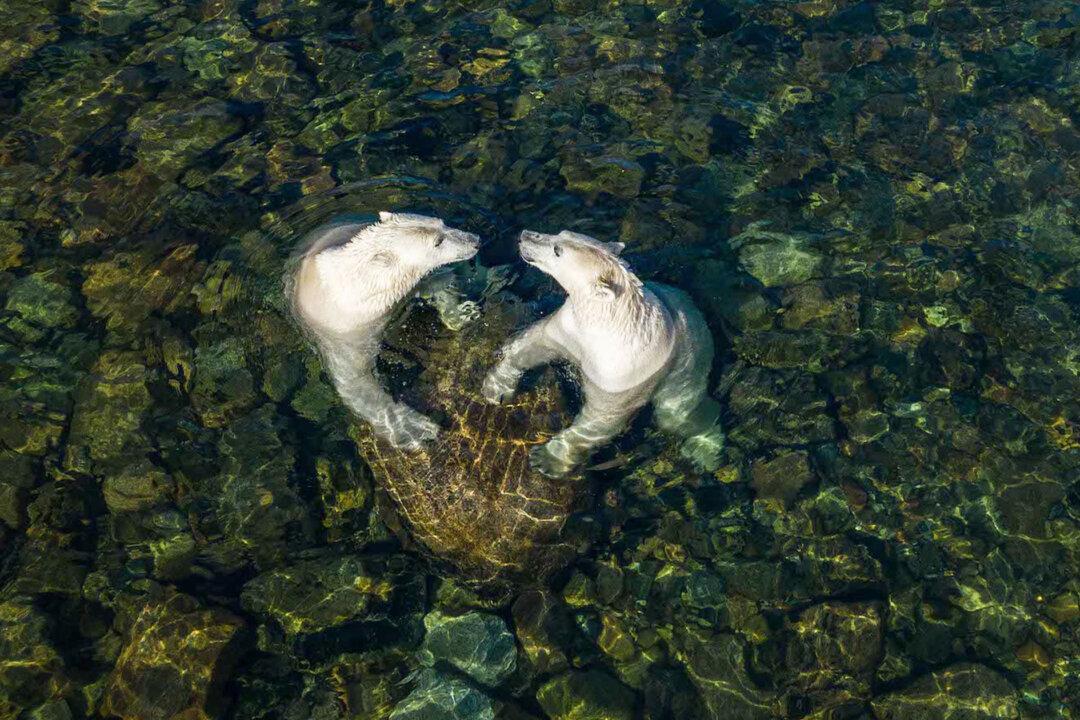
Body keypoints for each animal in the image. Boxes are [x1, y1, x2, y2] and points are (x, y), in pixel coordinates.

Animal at [288, 211, 479, 449]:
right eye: (438, 242)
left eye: (442, 223)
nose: (476, 241)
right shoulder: (344, 332)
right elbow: (354, 382)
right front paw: (417, 429)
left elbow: (434, 284)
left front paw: (464, 313)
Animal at [482, 228, 723, 477]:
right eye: (561, 232)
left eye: (558, 251)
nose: (525, 235)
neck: (607, 322)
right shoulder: (570, 328)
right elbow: (535, 344)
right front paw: (496, 388)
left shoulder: (619, 372)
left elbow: (601, 418)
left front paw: (546, 459)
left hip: (690, 361)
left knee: (677, 413)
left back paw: (704, 450)